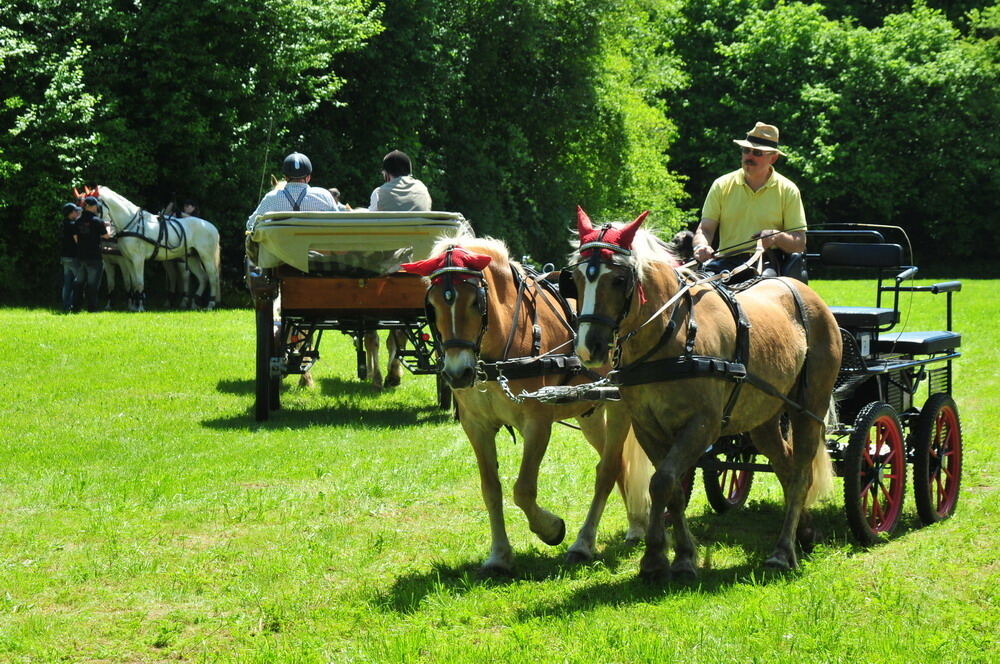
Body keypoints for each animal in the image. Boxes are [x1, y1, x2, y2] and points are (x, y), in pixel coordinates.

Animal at [87, 185, 222, 310]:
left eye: (94, 205)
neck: (132, 224)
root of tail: (212, 227)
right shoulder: (128, 260)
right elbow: (134, 282)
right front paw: (134, 306)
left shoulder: (138, 259)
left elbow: (139, 282)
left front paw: (140, 307)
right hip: (192, 257)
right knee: (203, 277)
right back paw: (195, 303)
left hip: (206, 257)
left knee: (212, 277)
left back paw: (210, 304)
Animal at [402, 239, 652, 576]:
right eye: (432, 304)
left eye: (476, 302)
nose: (457, 373)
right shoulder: (476, 426)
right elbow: (491, 489)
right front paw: (499, 556)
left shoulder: (537, 423)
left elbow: (522, 489)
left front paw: (551, 528)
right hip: (589, 413)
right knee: (619, 466)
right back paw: (637, 525)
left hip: (620, 408)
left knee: (607, 469)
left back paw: (585, 543)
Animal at [568, 209, 840, 580]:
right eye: (576, 277)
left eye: (619, 280)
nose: (588, 348)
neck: (673, 335)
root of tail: (804, 292)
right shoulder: (648, 427)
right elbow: (670, 488)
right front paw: (674, 556)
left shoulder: (702, 426)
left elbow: (662, 482)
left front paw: (659, 558)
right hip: (764, 417)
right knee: (785, 466)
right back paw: (805, 532)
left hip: (808, 408)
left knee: (800, 475)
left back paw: (783, 552)